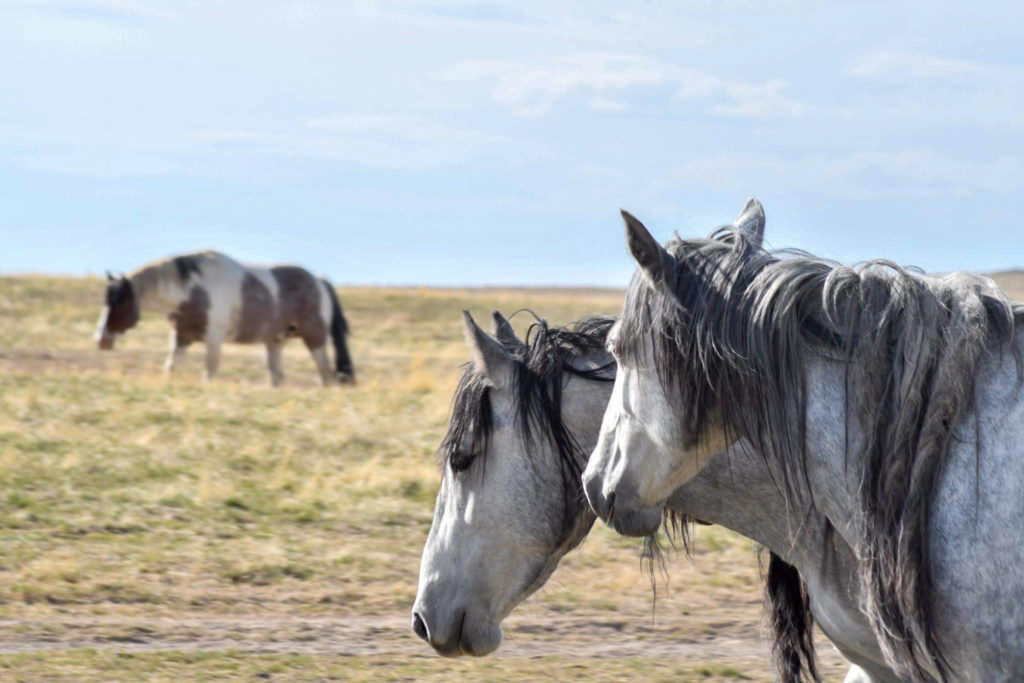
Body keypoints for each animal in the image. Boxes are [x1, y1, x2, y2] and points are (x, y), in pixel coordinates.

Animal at [94, 252, 356, 389]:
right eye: (106, 301)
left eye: (120, 302)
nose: (100, 341)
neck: (192, 291)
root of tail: (319, 281)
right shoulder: (181, 338)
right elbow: (170, 367)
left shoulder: (213, 340)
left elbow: (209, 373)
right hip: (275, 341)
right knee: (277, 376)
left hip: (315, 338)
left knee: (326, 374)